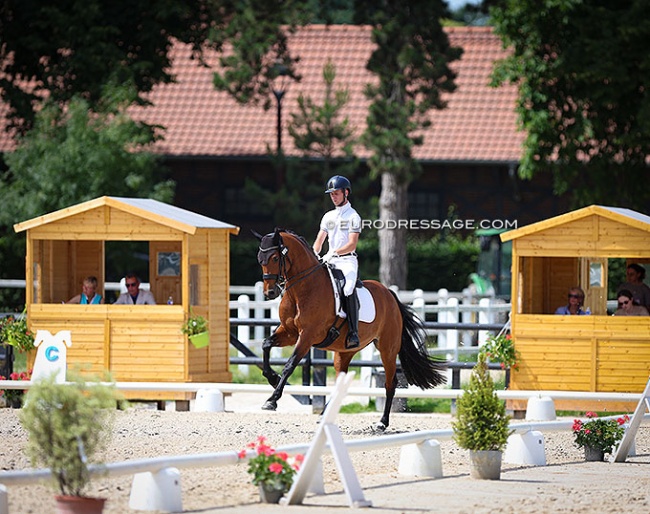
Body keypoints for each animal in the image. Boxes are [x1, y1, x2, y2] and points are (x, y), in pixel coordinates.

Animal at [253, 226, 446, 430]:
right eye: (260, 259)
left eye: (275, 258)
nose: (270, 292)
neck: (303, 290)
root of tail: (390, 295)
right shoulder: (290, 333)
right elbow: (266, 344)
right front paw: (272, 378)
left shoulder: (307, 336)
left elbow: (290, 365)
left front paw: (272, 400)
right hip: (345, 351)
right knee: (341, 381)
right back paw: (325, 414)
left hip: (387, 349)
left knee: (390, 382)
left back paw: (382, 422)